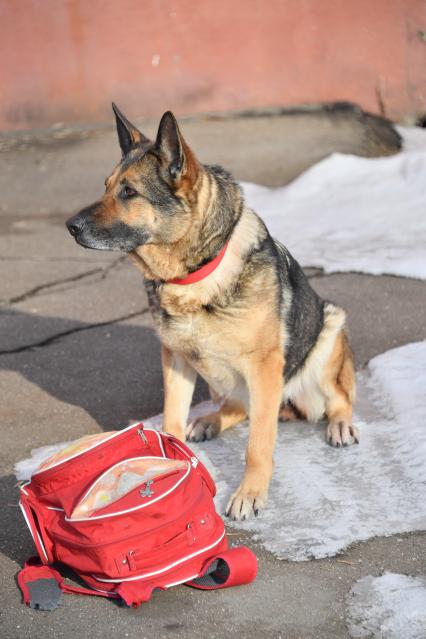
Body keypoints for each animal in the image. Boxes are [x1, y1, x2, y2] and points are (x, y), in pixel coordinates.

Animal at [66, 106, 358, 520]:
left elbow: (258, 444)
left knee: (338, 399)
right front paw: (172, 464)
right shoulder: (175, 359)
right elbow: (171, 420)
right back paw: (210, 421)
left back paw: (341, 425)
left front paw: (250, 494)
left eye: (129, 192)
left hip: (328, 330)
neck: (194, 276)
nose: (70, 226)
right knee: (238, 406)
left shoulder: (265, 368)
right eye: (106, 186)